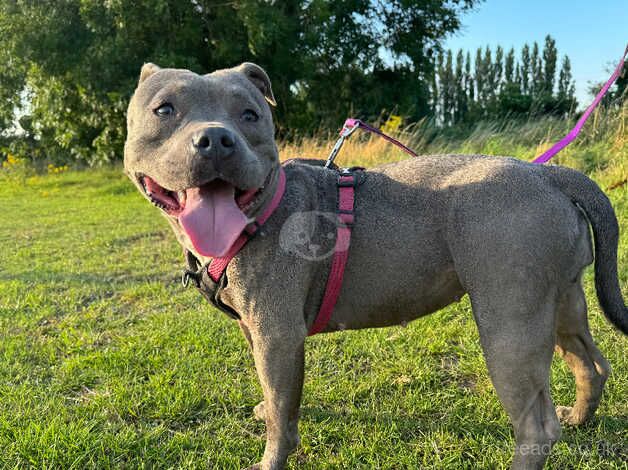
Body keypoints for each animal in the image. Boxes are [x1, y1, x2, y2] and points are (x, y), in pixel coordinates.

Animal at [124, 61, 628, 466]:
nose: (215, 139)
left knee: (536, 426)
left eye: (250, 115)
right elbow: (275, 401)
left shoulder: (278, 337)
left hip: (509, 325)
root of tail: (548, 173)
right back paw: (579, 416)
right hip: (561, 304)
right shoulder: (256, 332)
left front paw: (270, 459)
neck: (259, 214)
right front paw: (266, 409)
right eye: (164, 110)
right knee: (592, 365)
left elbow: (282, 423)